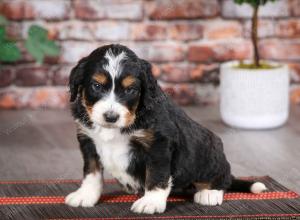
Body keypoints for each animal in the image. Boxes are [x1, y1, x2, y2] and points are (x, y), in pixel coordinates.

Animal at [65, 43, 268, 214]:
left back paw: (210, 193)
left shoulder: (159, 143)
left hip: (210, 151)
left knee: (222, 175)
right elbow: (91, 172)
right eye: (96, 86)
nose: (111, 117)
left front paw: (151, 202)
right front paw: (85, 195)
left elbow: (156, 174)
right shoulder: (88, 140)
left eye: (130, 90)